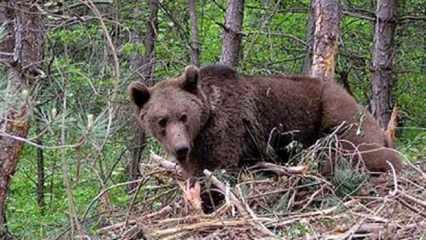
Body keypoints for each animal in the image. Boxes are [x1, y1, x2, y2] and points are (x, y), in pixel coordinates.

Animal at [128, 64, 402, 177]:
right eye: (161, 121)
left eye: (184, 116)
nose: (180, 148)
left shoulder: (228, 128)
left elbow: (218, 168)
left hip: (338, 117)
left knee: (353, 152)